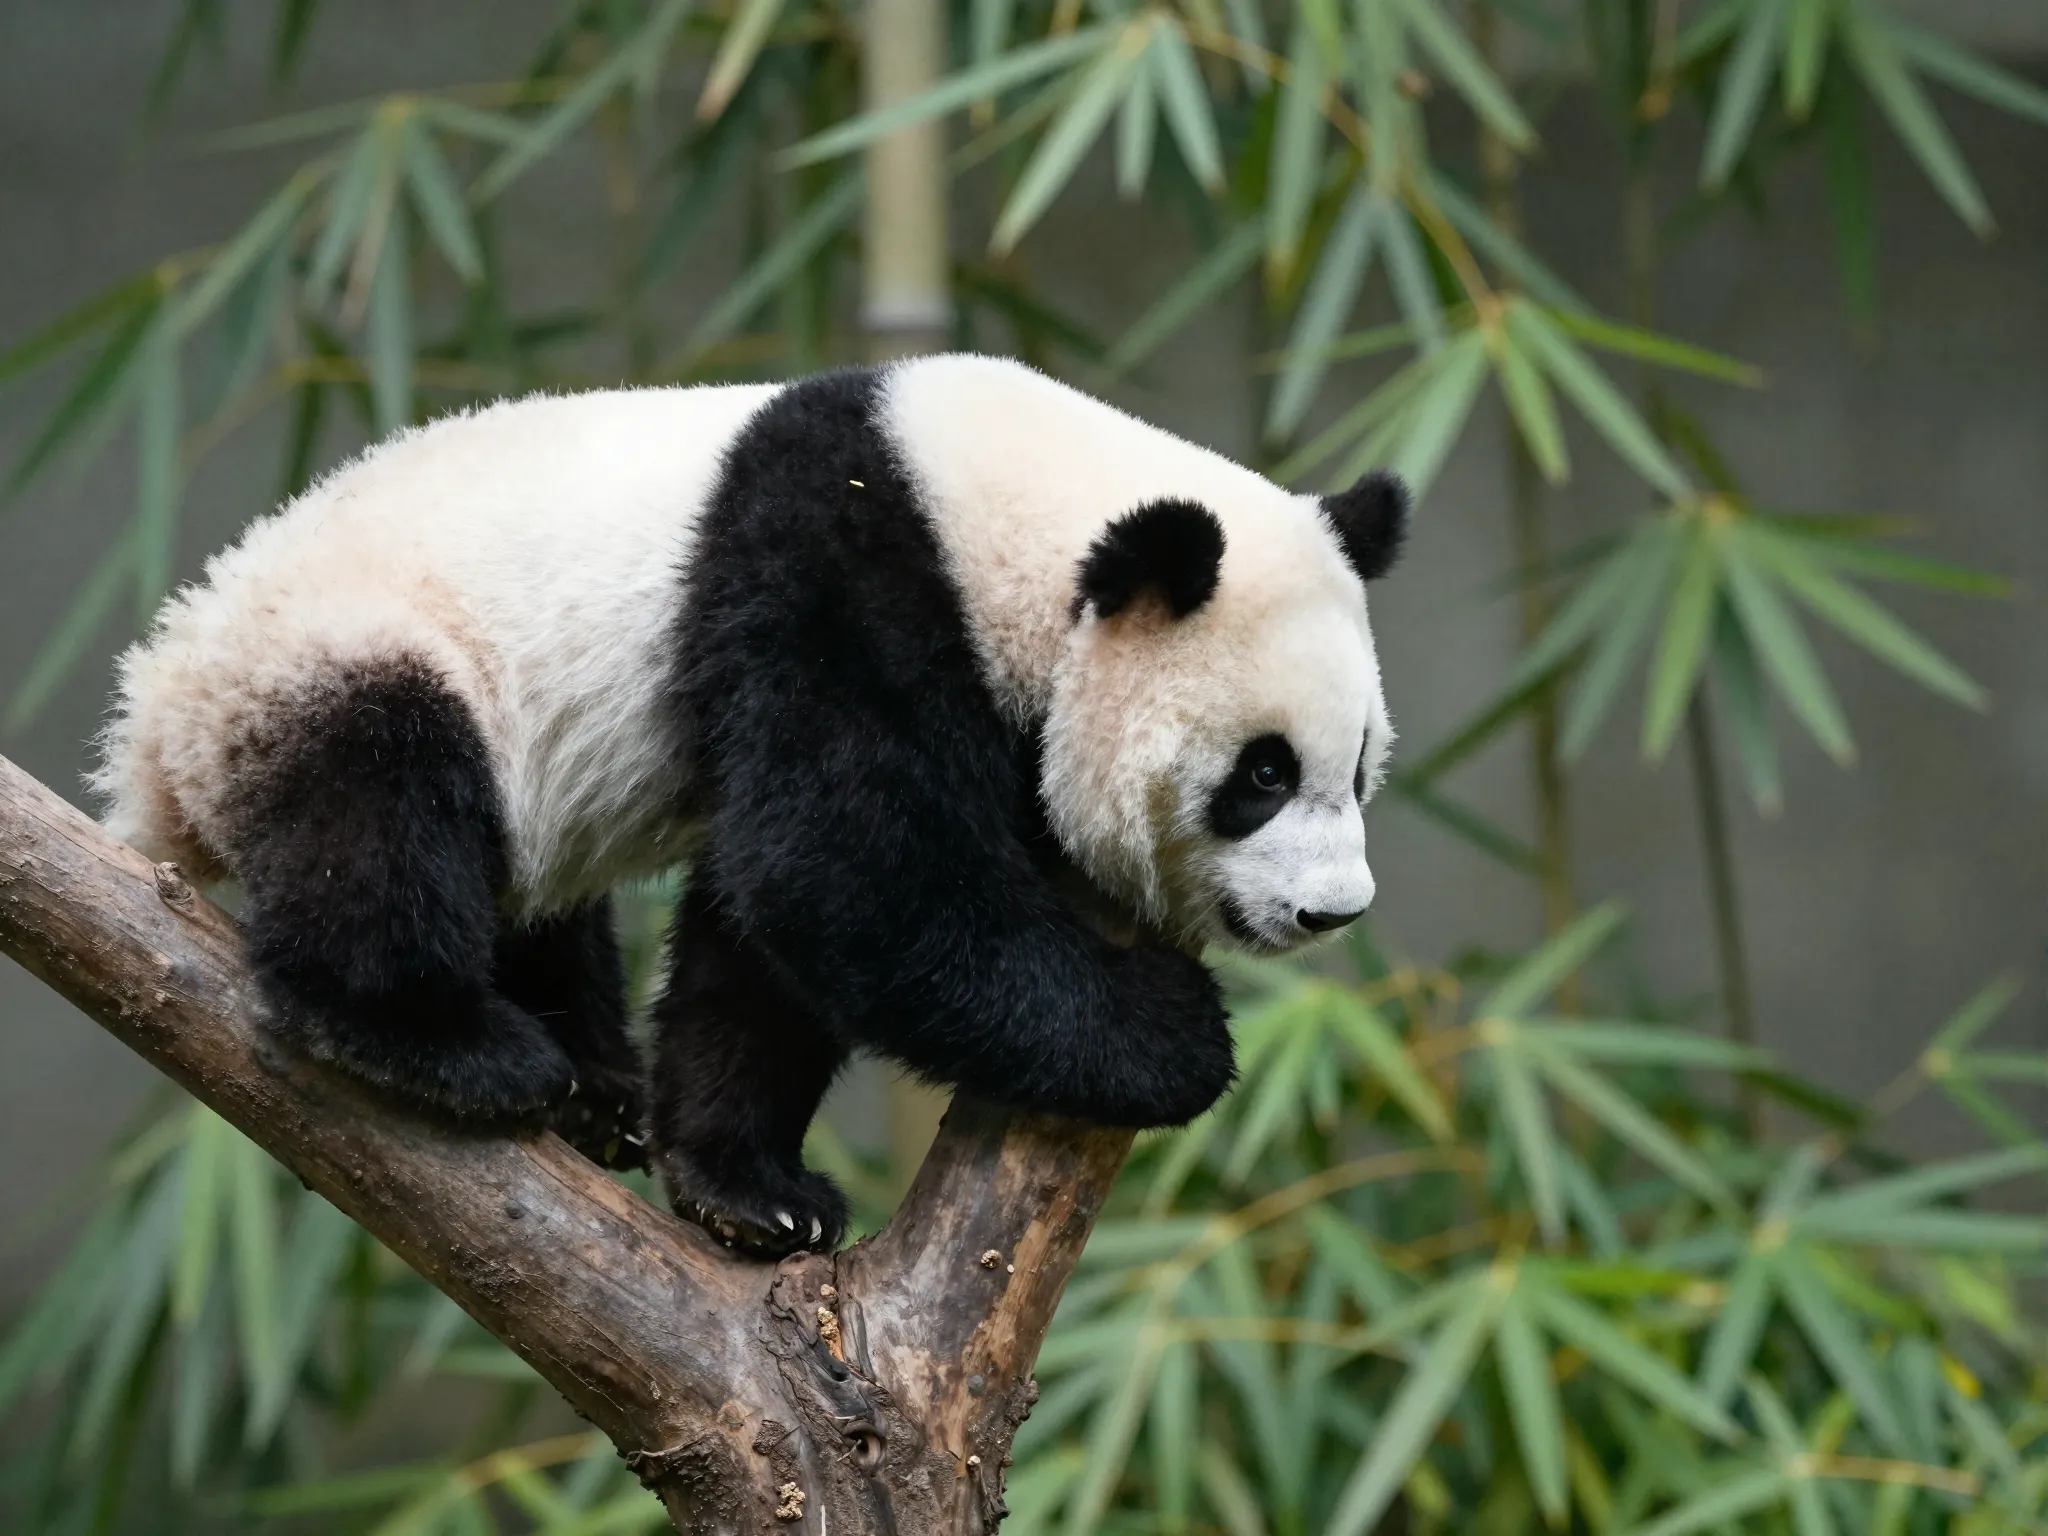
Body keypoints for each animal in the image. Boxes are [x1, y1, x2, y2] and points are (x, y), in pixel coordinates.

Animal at [94, 354, 1407, 1256]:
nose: (1333, 913)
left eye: (1354, 769)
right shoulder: (842, 575)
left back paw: (595, 1085)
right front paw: (1168, 1032)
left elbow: (766, 933)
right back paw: (449, 1046)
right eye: (1261, 774)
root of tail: (152, 726)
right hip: (341, 656)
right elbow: (840, 871)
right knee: (379, 818)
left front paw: (747, 1189)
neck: (996, 512)